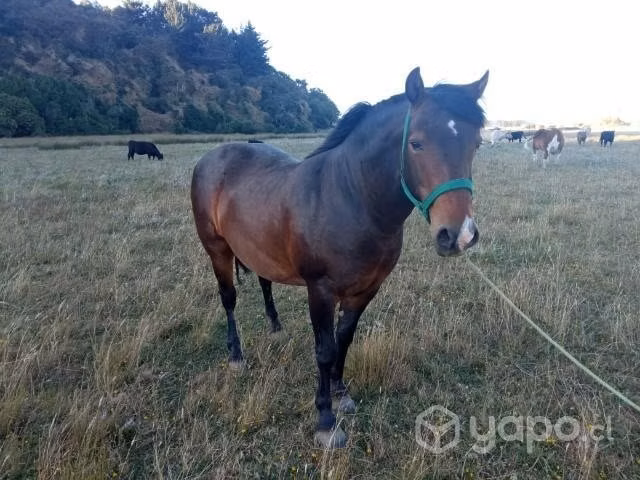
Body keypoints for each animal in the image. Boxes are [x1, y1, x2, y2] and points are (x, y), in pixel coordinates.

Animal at [190, 67, 488, 449]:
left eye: (475, 144)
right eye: (416, 143)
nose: (459, 235)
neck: (351, 199)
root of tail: (212, 156)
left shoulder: (365, 290)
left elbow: (344, 339)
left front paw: (341, 393)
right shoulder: (320, 290)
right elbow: (325, 349)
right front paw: (326, 421)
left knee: (264, 280)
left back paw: (275, 328)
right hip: (218, 250)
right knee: (228, 299)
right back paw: (236, 357)